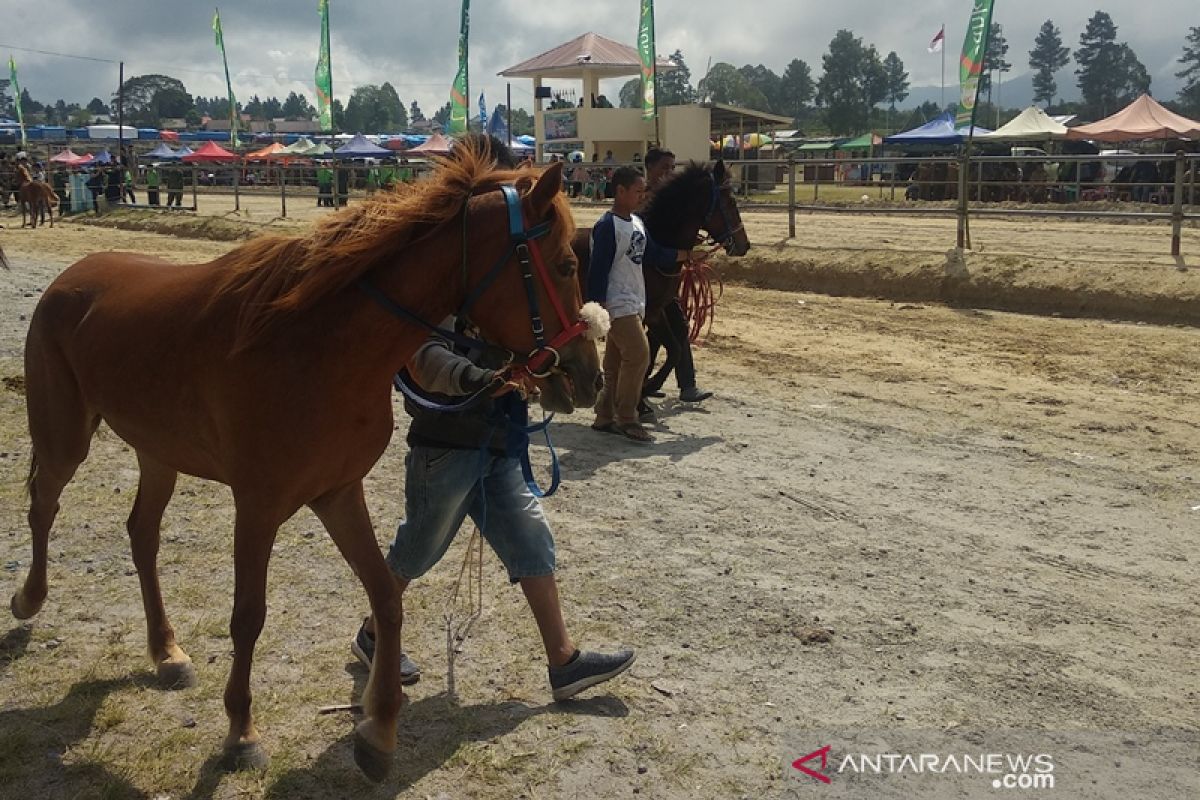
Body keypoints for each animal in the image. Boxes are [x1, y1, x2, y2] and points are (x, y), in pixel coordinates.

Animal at [11, 143, 597, 782]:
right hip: (65, 437)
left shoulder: (338, 493)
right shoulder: (258, 504)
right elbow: (248, 616)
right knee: (43, 506)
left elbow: (387, 598)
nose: (585, 374)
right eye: (566, 264)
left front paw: (379, 730)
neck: (319, 345)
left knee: (142, 535)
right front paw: (241, 732)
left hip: (158, 454)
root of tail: (70, 280)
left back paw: (166, 652)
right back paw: (28, 600)